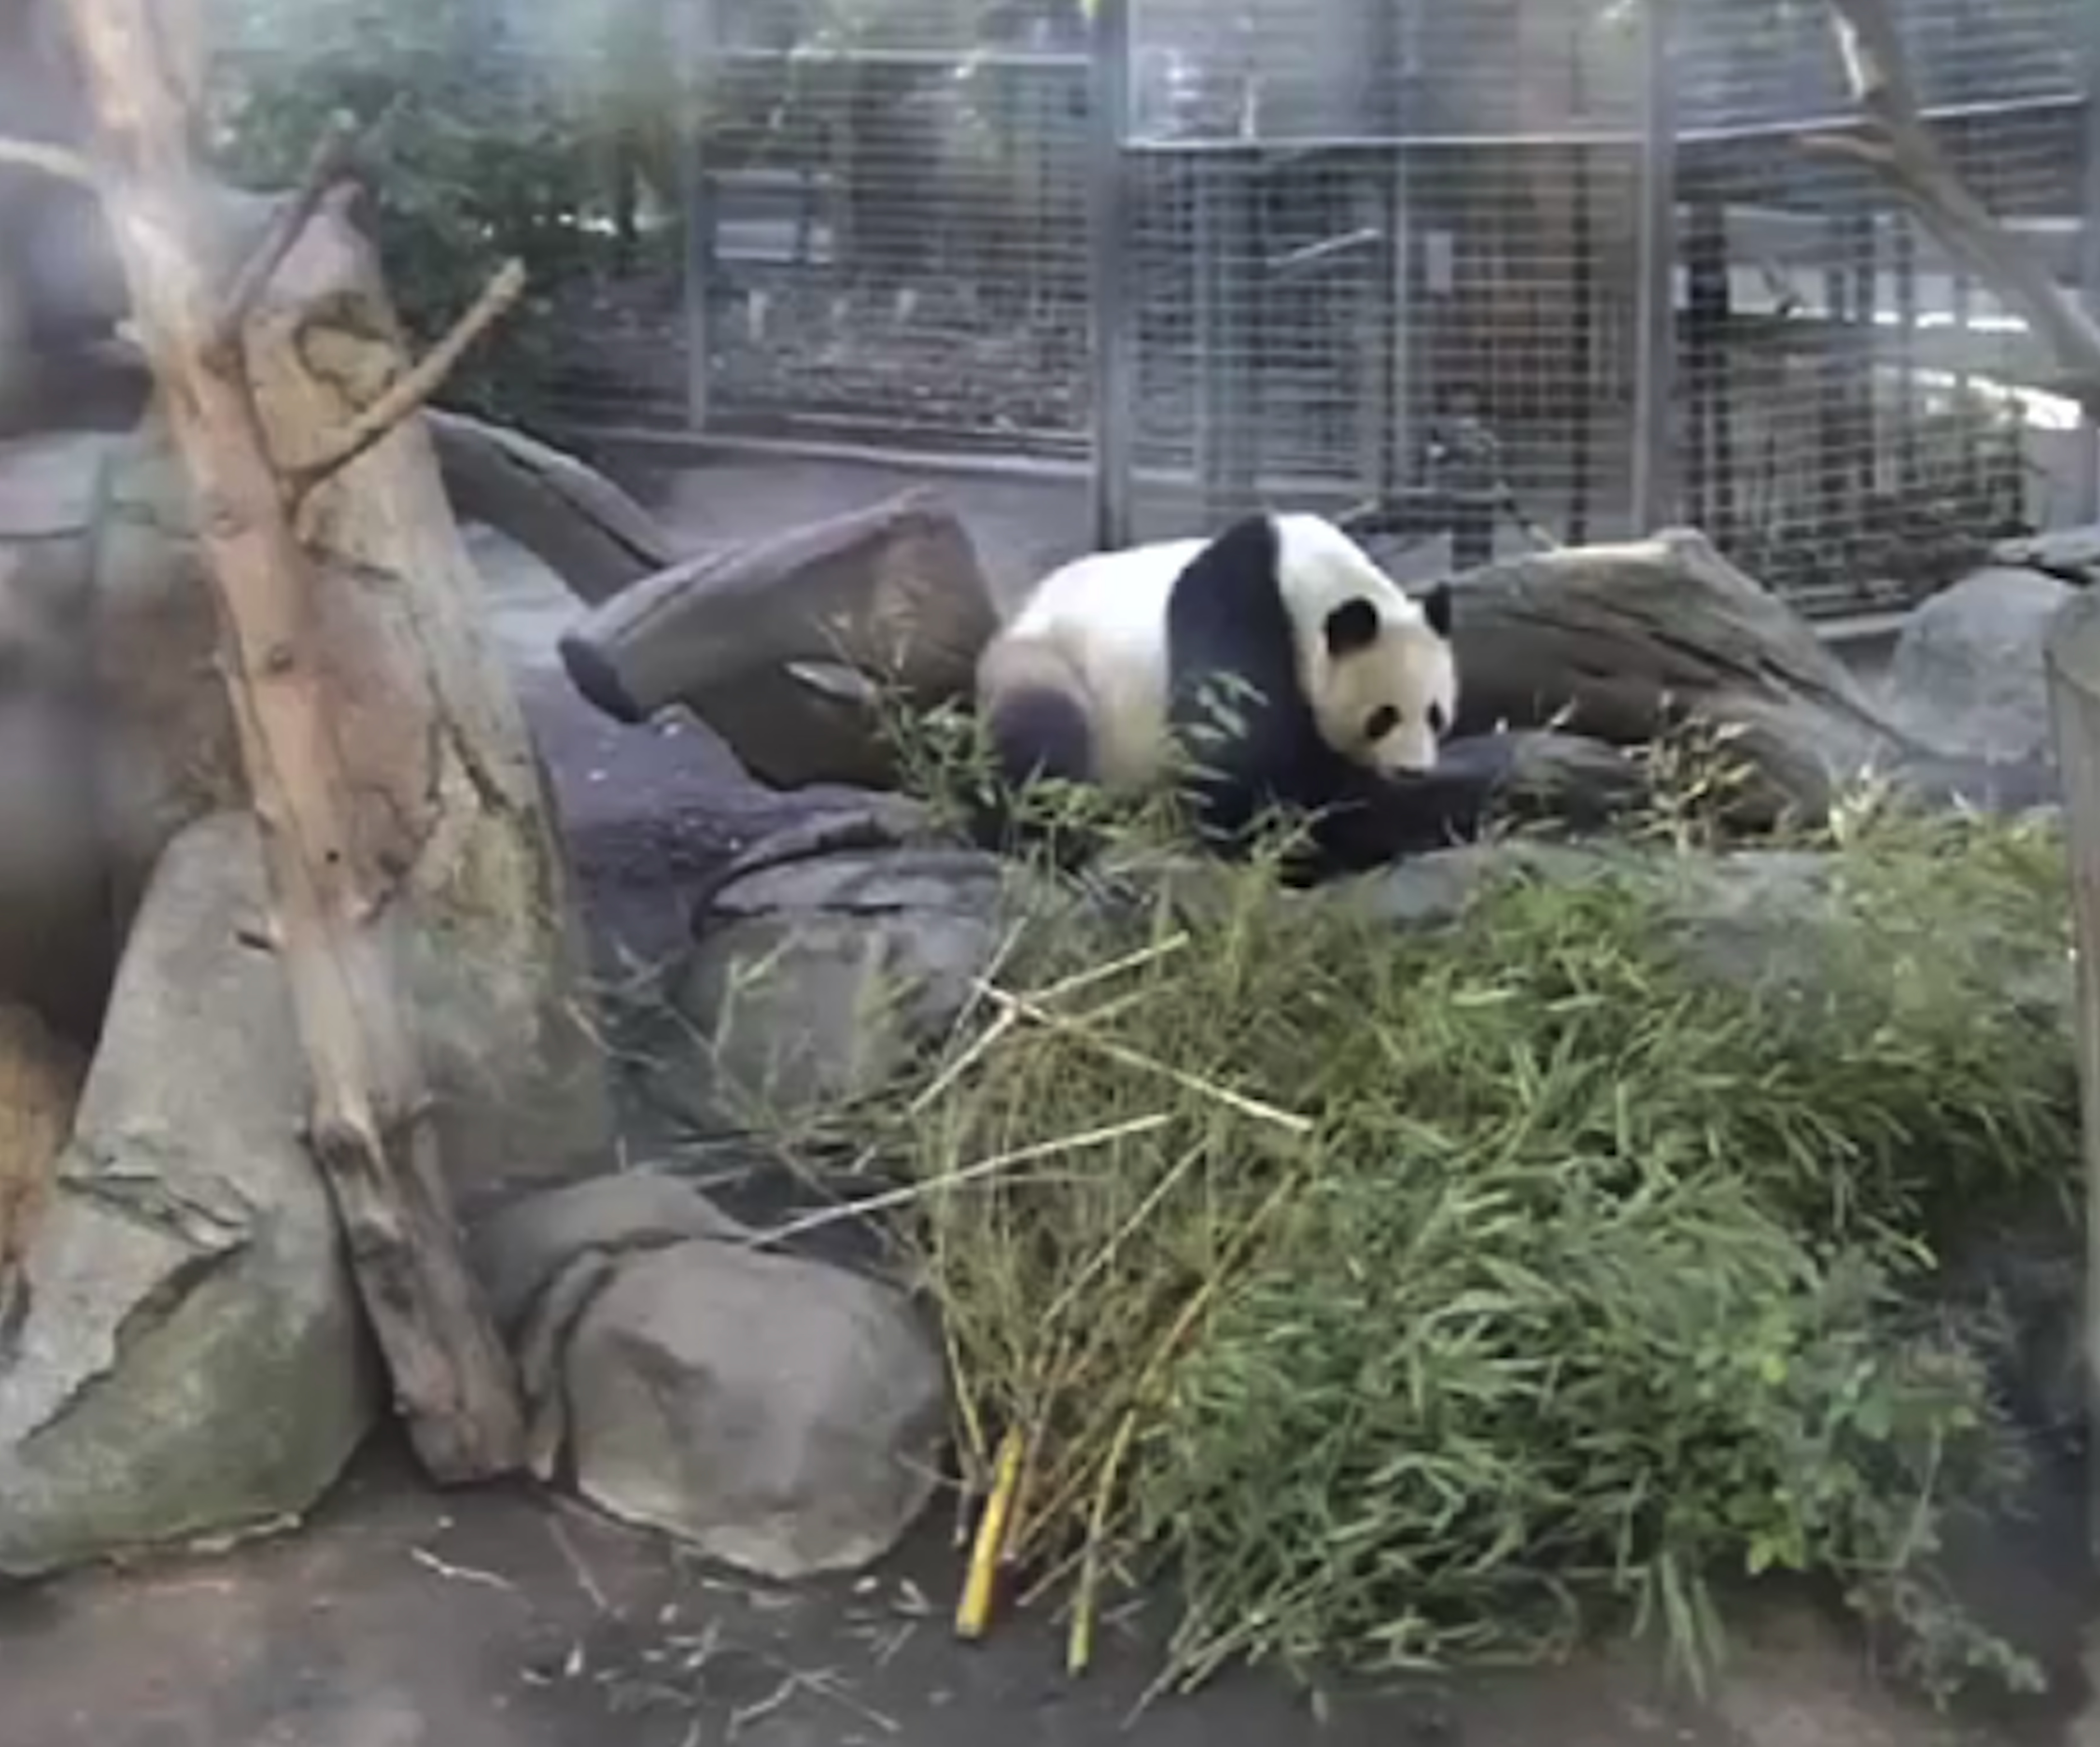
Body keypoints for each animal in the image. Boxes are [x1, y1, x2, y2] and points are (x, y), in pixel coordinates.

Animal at [971, 509, 1458, 881]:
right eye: (1383, 717)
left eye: (1435, 715)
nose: (1412, 772)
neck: (1306, 580)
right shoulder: (1234, 610)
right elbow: (1232, 750)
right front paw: (1292, 847)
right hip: (1052, 663)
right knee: (1041, 747)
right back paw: (1046, 841)